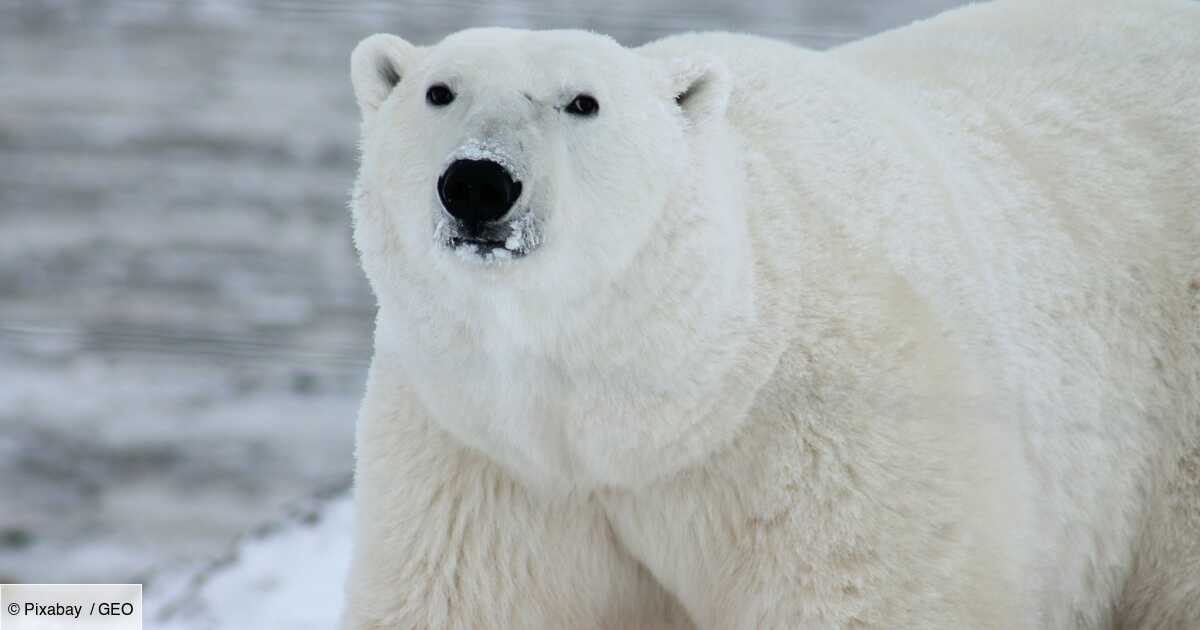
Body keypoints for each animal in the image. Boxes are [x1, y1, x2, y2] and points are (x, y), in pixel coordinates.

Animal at [340, 1, 1200, 624]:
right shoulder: (483, 457)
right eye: (438, 91)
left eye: (582, 102)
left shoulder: (834, 438)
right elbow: (465, 599)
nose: (479, 183)